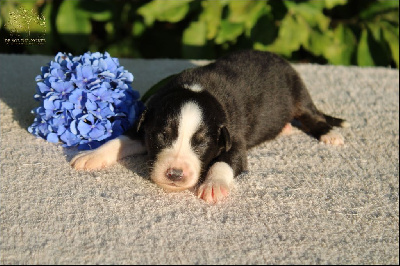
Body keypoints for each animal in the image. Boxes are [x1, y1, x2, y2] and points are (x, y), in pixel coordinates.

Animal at [71, 50, 346, 204]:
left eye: (201, 142)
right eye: (162, 135)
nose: (175, 174)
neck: (198, 88)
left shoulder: (234, 140)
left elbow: (224, 162)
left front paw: (213, 186)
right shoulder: (144, 125)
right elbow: (120, 140)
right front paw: (90, 155)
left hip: (298, 90)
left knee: (311, 114)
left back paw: (329, 133)